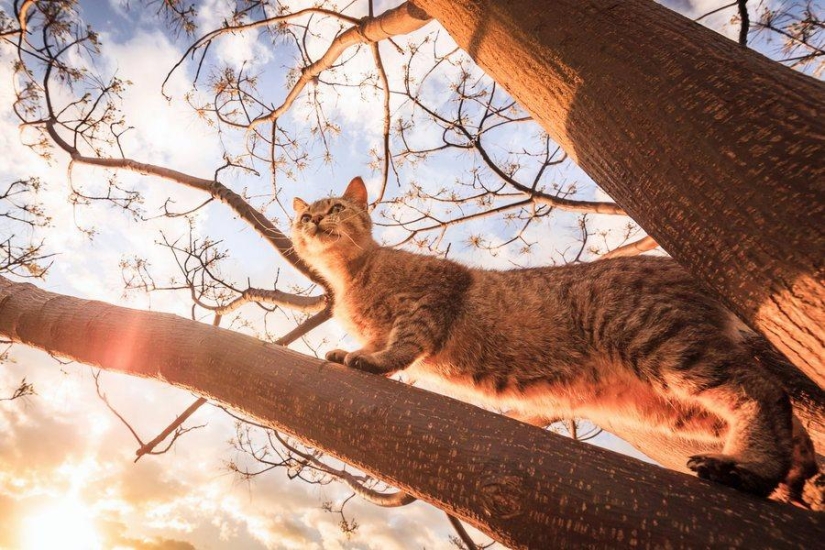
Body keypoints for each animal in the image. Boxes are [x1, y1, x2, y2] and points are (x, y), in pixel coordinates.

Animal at [292, 177, 816, 500]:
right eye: (302, 218)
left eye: (336, 207)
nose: (313, 221)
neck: (350, 278)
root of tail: (680, 267)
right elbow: (380, 343)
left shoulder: (434, 296)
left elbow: (402, 345)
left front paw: (370, 361)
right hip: (674, 405)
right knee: (787, 417)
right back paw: (795, 468)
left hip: (663, 345)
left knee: (762, 390)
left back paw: (750, 470)